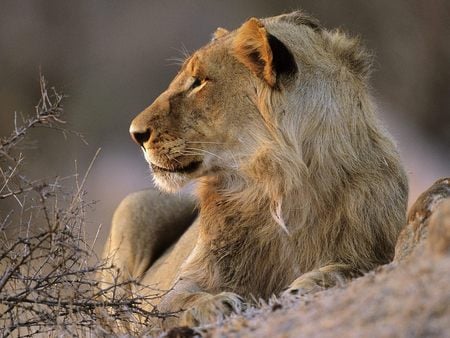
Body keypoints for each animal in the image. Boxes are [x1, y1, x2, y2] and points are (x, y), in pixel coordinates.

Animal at [100, 11, 410, 330]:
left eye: (199, 82)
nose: (135, 133)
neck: (280, 185)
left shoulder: (379, 248)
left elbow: (354, 267)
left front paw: (310, 283)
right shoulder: (183, 284)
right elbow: (176, 302)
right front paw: (214, 304)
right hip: (135, 204)